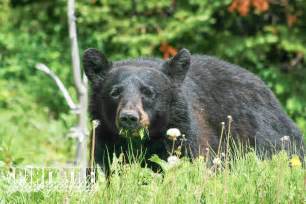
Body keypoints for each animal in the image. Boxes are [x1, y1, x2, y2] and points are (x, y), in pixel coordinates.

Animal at [82, 48, 304, 171]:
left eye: (149, 92)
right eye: (115, 92)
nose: (129, 118)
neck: (141, 142)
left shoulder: (186, 134)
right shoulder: (105, 139)